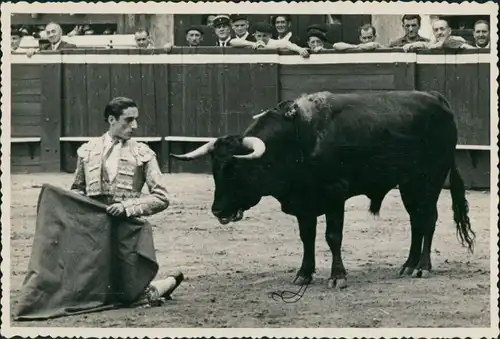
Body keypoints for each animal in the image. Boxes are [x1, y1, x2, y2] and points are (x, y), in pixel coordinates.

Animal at [172, 90, 476, 290]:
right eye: (214, 170)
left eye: (235, 170)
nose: (218, 210)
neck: (297, 140)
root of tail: (437, 100)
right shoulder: (303, 202)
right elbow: (307, 237)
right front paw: (304, 274)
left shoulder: (335, 195)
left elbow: (332, 236)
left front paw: (337, 276)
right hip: (408, 183)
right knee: (416, 220)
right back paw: (408, 265)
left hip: (431, 178)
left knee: (429, 219)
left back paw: (423, 267)